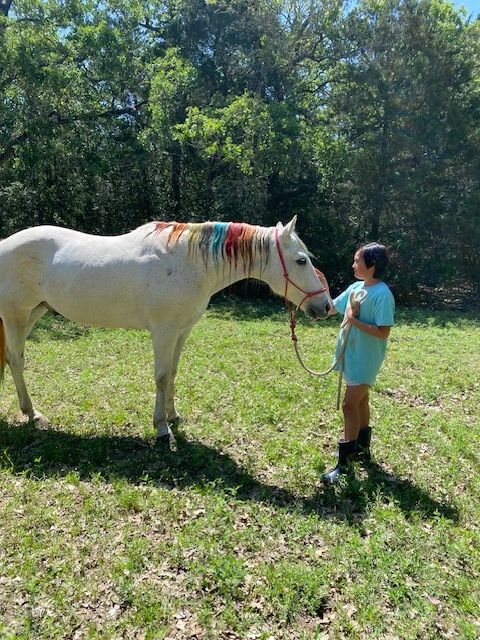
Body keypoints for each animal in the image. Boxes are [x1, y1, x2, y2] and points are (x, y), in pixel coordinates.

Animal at [0, 216, 331, 442]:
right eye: (301, 260)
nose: (326, 306)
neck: (191, 263)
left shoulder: (182, 331)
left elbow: (172, 373)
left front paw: (173, 416)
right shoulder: (164, 331)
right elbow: (160, 377)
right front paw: (161, 428)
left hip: (34, 312)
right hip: (16, 316)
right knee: (16, 361)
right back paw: (32, 413)